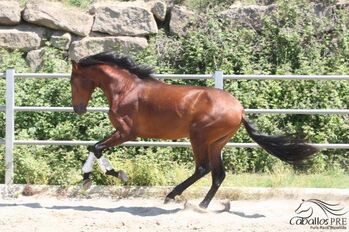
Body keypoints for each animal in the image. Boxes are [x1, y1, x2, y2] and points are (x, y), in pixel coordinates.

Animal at [70, 51, 318, 208]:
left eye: (73, 80)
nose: (78, 109)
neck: (126, 89)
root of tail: (240, 110)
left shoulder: (126, 133)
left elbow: (96, 147)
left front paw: (113, 175)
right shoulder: (124, 134)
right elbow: (94, 147)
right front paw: (88, 178)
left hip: (198, 138)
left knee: (203, 168)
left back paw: (172, 196)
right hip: (216, 143)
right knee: (218, 174)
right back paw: (203, 205)